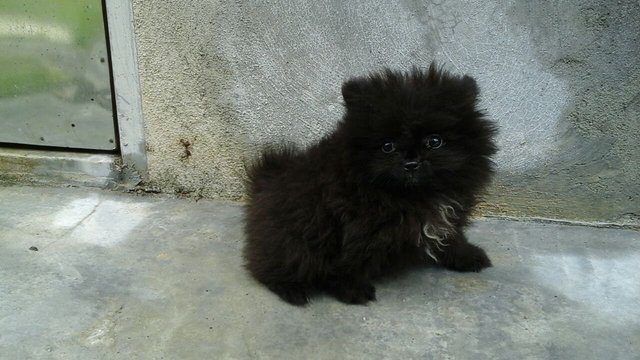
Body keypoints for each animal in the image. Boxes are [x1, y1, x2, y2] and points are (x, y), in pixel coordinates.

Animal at [242, 63, 498, 306]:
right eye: (387, 146)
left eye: (434, 141)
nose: (411, 162)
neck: (415, 195)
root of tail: (265, 183)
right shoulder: (356, 228)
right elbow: (350, 260)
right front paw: (350, 289)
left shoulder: (445, 217)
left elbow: (452, 238)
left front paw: (467, 256)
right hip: (294, 242)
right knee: (272, 266)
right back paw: (292, 289)